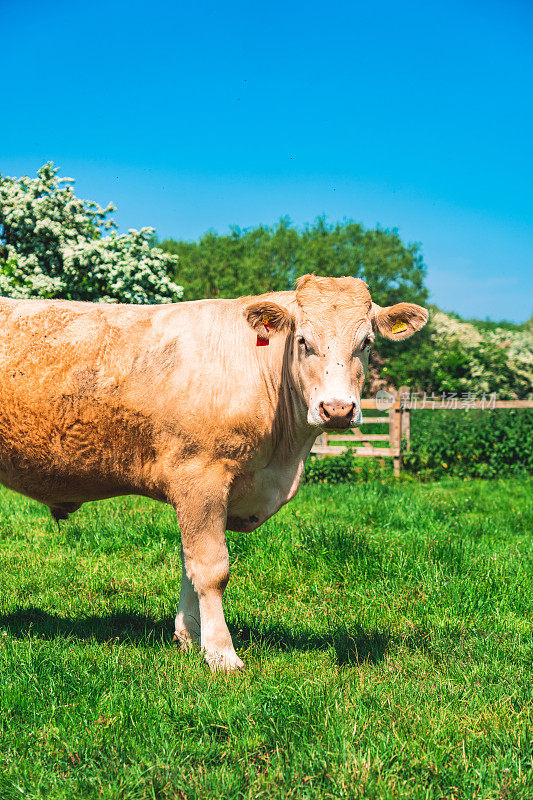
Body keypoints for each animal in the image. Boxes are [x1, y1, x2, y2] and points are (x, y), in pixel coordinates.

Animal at [0, 276, 426, 668]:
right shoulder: (200, 477)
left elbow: (188, 562)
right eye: (304, 341)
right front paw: (221, 653)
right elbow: (211, 568)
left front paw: (189, 636)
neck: (282, 459)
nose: (337, 409)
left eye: (366, 342)